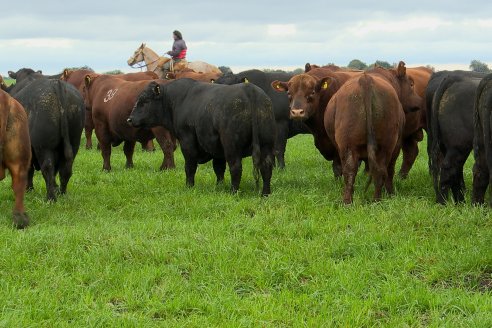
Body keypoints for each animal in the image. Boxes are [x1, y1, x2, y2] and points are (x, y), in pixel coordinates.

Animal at [127, 78, 276, 196]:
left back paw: (233, 192)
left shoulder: (187, 141)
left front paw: (189, 186)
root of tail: (250, 89)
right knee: (266, 166)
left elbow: (190, 166)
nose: (129, 119)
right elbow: (218, 168)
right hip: (266, 144)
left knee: (236, 167)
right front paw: (219, 186)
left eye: (145, 101)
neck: (176, 100)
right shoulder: (217, 149)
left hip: (231, 145)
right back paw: (265, 193)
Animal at [324, 62, 420, 202]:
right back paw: (377, 199)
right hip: (387, 145)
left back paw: (348, 201)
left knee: (350, 170)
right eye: (411, 84)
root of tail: (366, 80)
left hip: (348, 145)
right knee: (382, 170)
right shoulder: (397, 144)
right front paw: (390, 193)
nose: (419, 102)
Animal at [428, 73, 482, 204]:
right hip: (459, 144)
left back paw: (460, 203)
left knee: (455, 171)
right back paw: (443, 203)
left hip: (445, 145)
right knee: (449, 170)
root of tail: (455, 77)